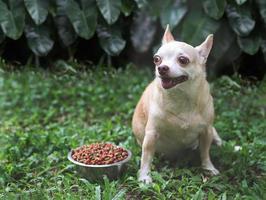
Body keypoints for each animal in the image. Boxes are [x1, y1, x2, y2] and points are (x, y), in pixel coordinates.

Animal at [132, 25, 221, 184]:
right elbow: (146, 157)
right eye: (156, 59)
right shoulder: (151, 135)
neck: (181, 98)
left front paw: (209, 168)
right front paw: (144, 176)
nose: (162, 68)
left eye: (183, 60)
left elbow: (205, 152)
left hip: (210, 130)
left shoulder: (206, 131)